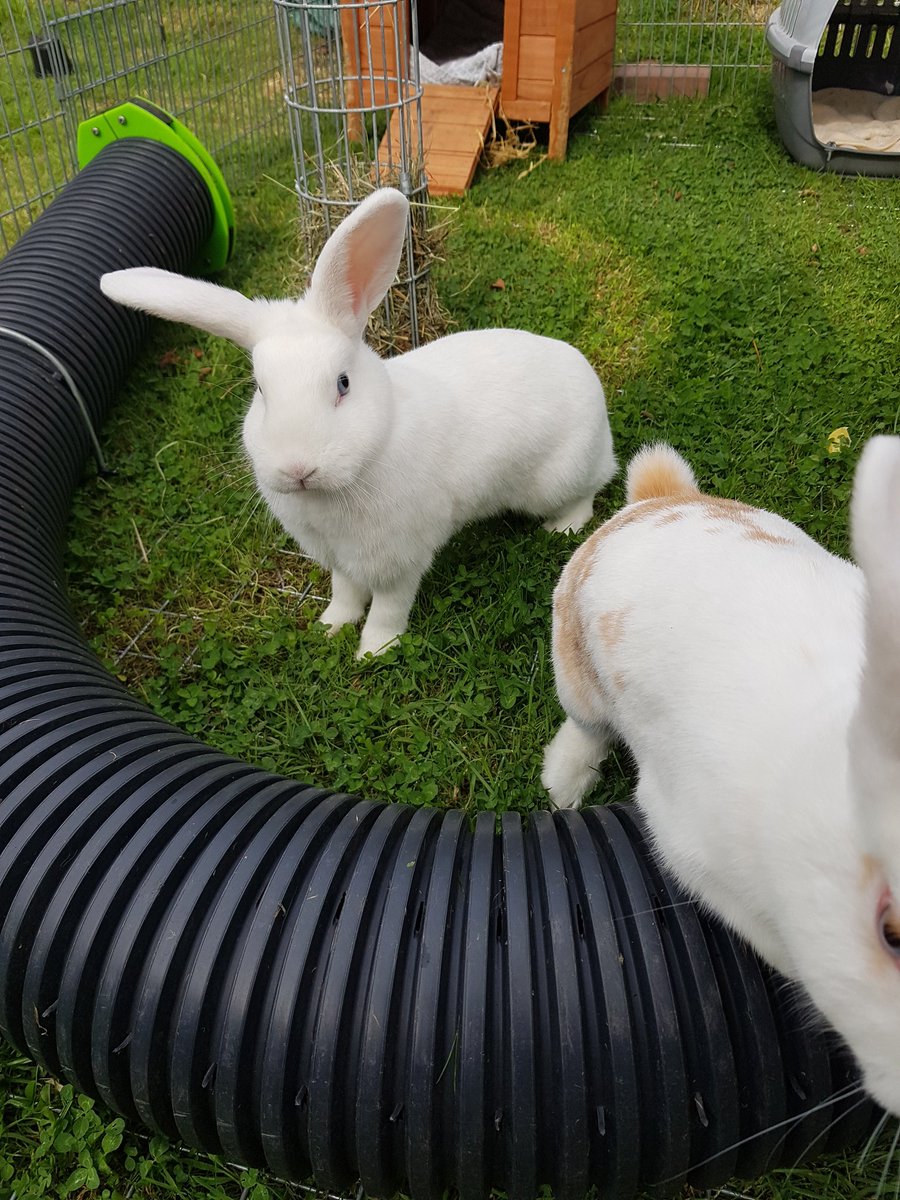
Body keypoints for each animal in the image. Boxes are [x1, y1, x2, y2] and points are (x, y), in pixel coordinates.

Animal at [100, 188, 616, 658]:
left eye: (343, 384)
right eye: (260, 390)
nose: (298, 469)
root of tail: (598, 405)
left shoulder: (400, 558)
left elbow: (389, 607)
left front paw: (373, 650)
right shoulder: (340, 560)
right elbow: (345, 593)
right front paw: (330, 627)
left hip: (559, 478)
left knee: (590, 494)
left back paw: (562, 528)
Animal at [542, 435, 900, 1119]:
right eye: (892, 933)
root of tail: (659, 502)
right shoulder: (692, 851)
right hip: (576, 672)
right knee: (586, 727)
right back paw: (563, 785)